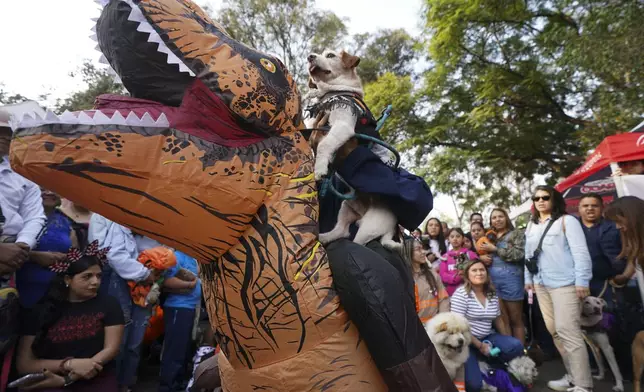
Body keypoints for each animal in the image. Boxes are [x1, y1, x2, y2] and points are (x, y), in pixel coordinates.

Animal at [304, 49, 400, 250]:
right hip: (346, 208)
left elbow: (324, 145)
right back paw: (324, 237)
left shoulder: (343, 125)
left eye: (330, 55)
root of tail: (392, 228)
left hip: (369, 226)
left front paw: (319, 168)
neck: (331, 93)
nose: (310, 56)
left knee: (357, 241)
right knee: (342, 231)